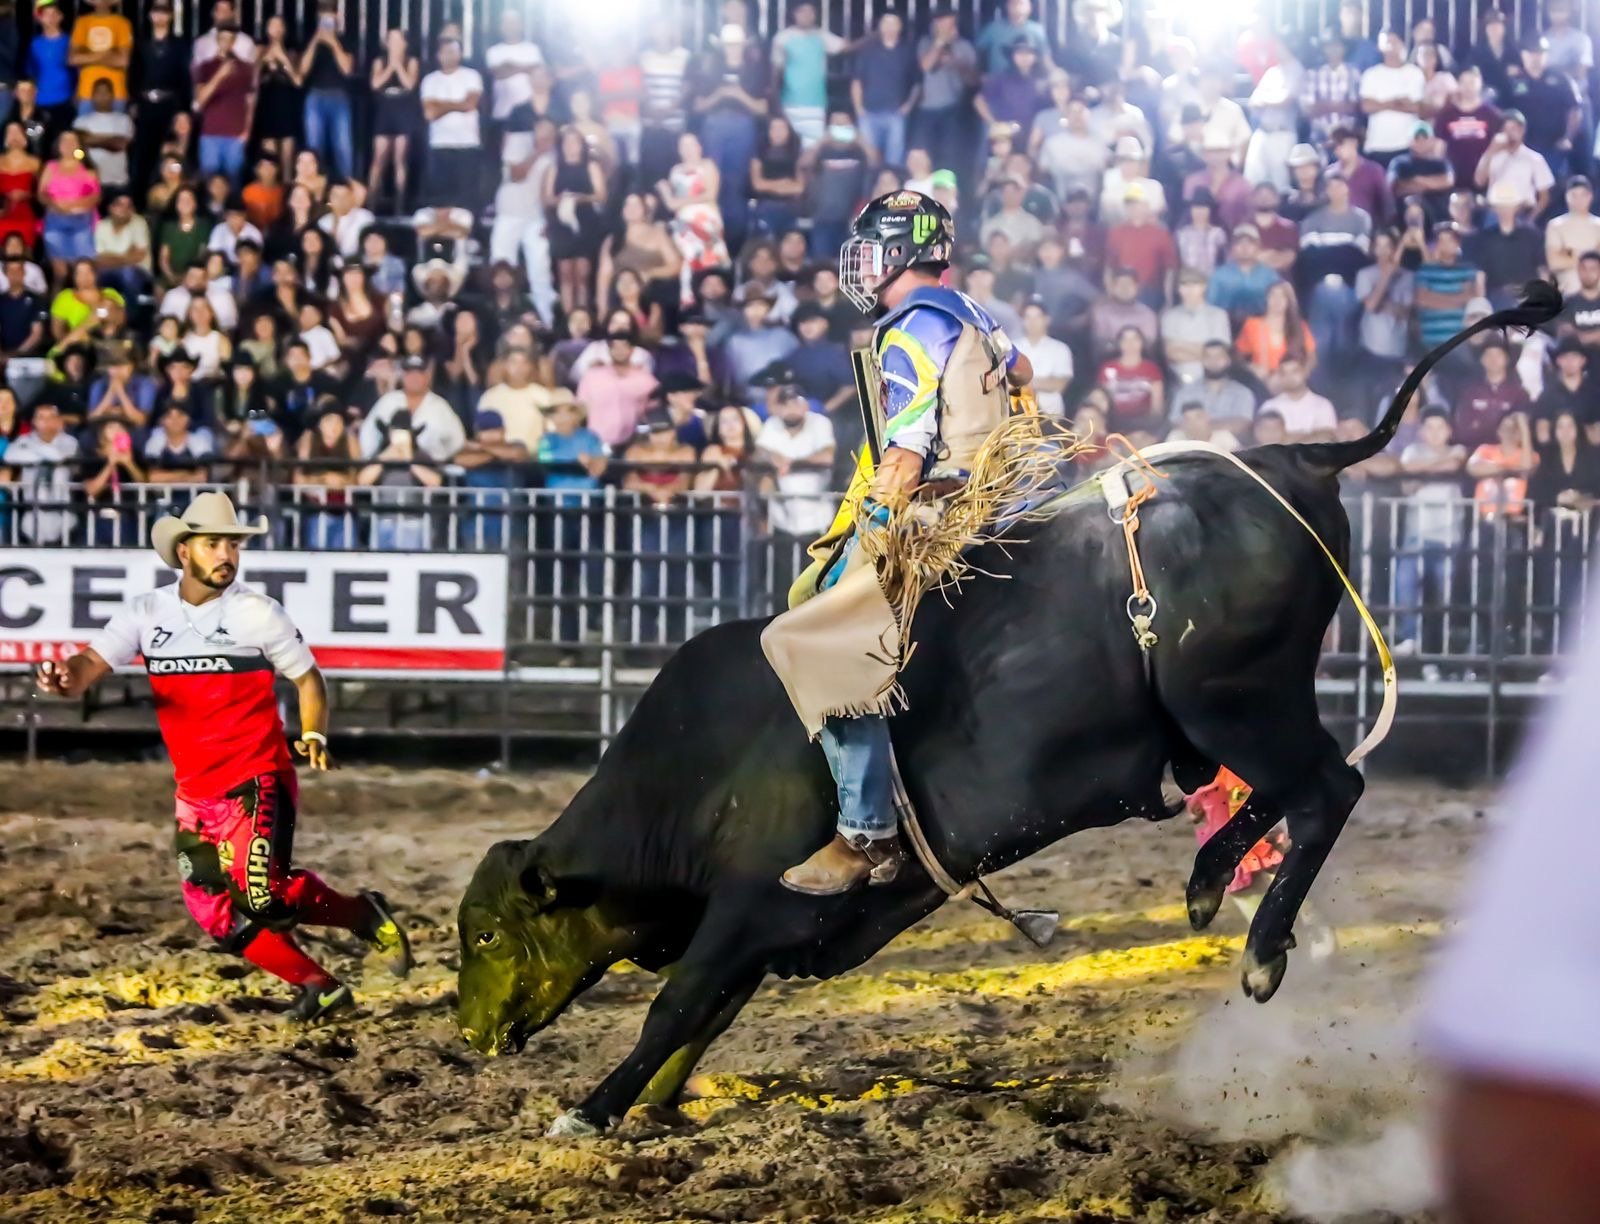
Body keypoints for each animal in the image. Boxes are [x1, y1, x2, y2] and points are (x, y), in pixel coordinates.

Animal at [457, 289, 1555, 1139]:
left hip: (1236, 697)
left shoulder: (748, 906)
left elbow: (675, 1005)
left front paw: (590, 1109)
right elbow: (701, 1020)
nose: (465, 1035)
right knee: (1283, 793)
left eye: (490, 935)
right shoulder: (763, 933)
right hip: (1223, 715)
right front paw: (653, 1106)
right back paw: (1208, 886)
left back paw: (1257, 951)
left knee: (1329, 785)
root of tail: (1298, 461)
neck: (697, 771)